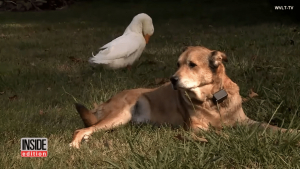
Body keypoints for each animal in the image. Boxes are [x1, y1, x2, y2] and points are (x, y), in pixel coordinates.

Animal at [69, 45, 296, 149]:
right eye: (177, 64)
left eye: (192, 65)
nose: (172, 79)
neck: (213, 100)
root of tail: (106, 101)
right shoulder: (197, 128)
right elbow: (223, 132)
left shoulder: (245, 120)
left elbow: (268, 127)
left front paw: (291, 132)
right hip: (119, 115)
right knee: (82, 128)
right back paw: (75, 144)